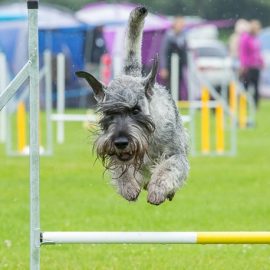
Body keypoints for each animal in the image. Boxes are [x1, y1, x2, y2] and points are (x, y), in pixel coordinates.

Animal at [76, 6, 190, 205]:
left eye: (136, 110)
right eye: (108, 113)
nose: (121, 142)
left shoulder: (176, 154)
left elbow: (168, 169)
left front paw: (158, 189)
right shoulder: (117, 156)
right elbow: (121, 167)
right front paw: (128, 186)